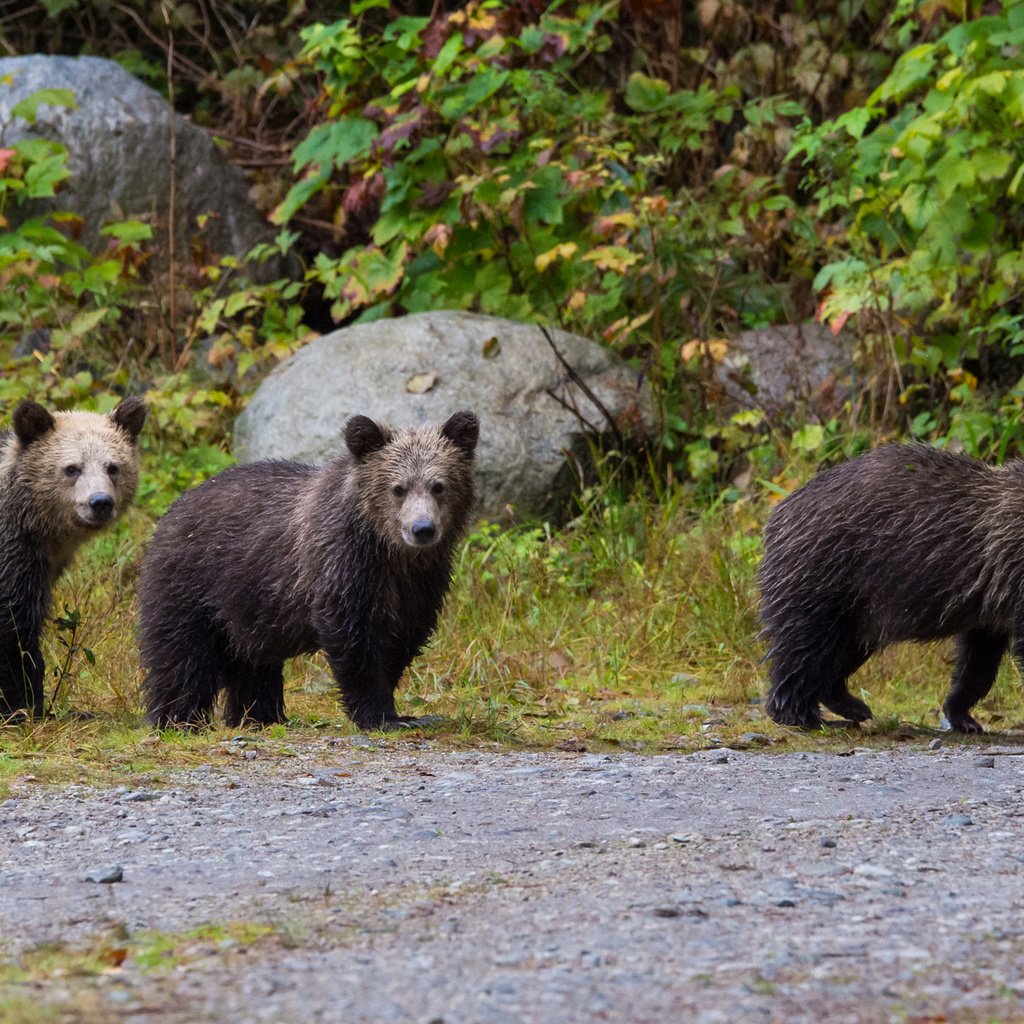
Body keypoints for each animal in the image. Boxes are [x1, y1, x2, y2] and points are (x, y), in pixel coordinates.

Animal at [0, 395, 148, 716]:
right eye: (71, 468)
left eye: (112, 467)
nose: (100, 502)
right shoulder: (14, 553)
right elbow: (14, 625)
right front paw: (25, 706)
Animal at [138, 407, 481, 729]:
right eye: (398, 488)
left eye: (439, 486)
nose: (422, 529)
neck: (389, 551)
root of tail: (173, 508)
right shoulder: (342, 565)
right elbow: (355, 641)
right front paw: (380, 714)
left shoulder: (421, 582)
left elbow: (402, 638)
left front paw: (398, 710)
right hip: (192, 583)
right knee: (181, 656)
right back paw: (178, 718)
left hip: (249, 606)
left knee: (251, 663)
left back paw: (258, 715)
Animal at [757, 444, 1024, 733]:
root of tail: (778, 513)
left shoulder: (991, 602)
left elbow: (978, 661)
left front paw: (962, 715)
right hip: (824, 576)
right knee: (804, 649)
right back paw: (806, 717)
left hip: (859, 607)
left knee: (840, 651)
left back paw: (853, 706)